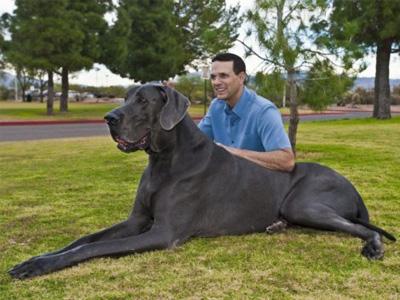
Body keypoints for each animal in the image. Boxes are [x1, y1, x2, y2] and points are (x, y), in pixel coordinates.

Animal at [8, 84, 394, 278]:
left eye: (143, 100)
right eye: (125, 97)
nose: (109, 118)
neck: (164, 160)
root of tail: (355, 189)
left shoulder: (163, 232)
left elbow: (92, 249)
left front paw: (41, 266)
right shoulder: (136, 220)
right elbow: (82, 239)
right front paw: (35, 259)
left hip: (303, 203)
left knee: (365, 228)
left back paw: (373, 247)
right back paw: (275, 226)